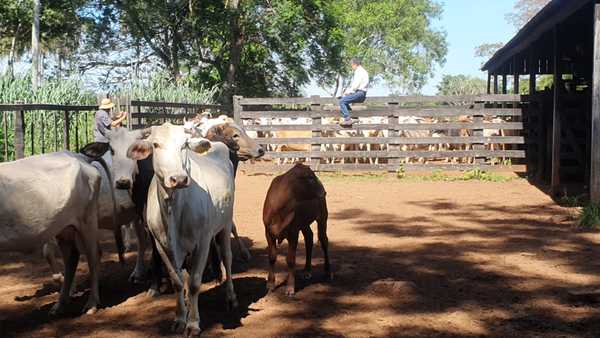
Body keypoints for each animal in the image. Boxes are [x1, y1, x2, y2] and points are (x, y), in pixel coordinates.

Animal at [0, 152, 102, 316]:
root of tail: (81, 157)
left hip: (88, 220)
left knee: (93, 257)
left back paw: (91, 304)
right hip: (64, 227)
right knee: (71, 258)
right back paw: (59, 305)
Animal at [126, 122, 237, 336]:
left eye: (184, 144)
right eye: (155, 144)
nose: (178, 179)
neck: (174, 208)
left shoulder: (202, 242)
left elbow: (194, 283)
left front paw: (193, 324)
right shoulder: (162, 246)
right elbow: (177, 281)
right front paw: (179, 318)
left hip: (225, 224)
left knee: (227, 258)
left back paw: (230, 297)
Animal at [262, 162, 330, 294]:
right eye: (310, 178)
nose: (324, 191)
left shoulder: (293, 232)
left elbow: (290, 260)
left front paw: (290, 287)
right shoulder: (268, 232)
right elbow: (272, 257)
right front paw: (270, 284)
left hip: (322, 217)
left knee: (324, 240)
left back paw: (328, 272)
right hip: (304, 223)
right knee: (309, 237)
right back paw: (307, 270)